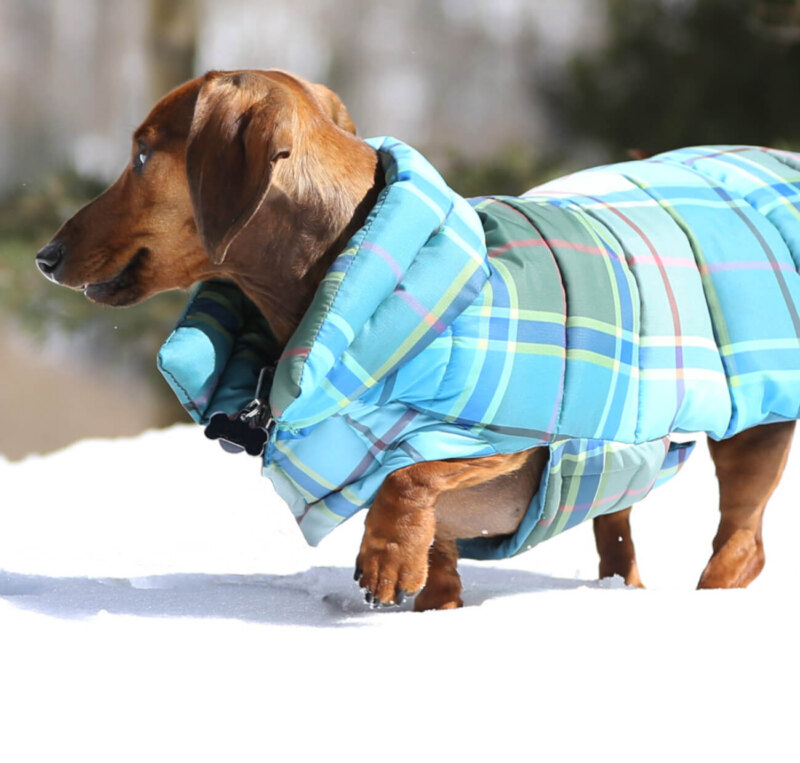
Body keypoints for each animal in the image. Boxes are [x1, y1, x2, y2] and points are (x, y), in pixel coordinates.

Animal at [37, 70, 792, 608]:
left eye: (141, 154)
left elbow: (412, 469)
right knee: (618, 526)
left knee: (743, 544)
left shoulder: (527, 431)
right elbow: (437, 551)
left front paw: (386, 557)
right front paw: (427, 589)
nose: (46, 255)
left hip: (754, 423)